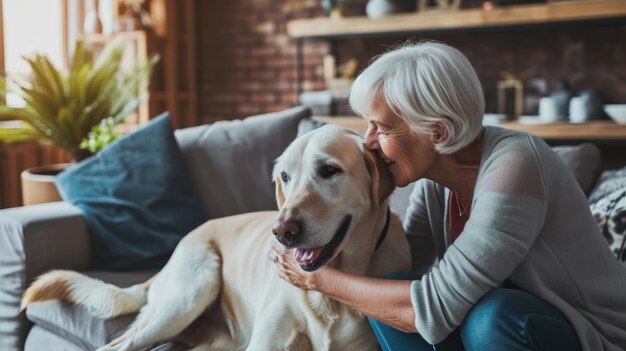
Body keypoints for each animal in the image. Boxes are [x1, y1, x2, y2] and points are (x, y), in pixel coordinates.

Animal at [20, 125, 410, 350]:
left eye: (329, 170)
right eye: (285, 177)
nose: (281, 231)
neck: (328, 299)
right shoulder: (265, 343)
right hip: (188, 294)